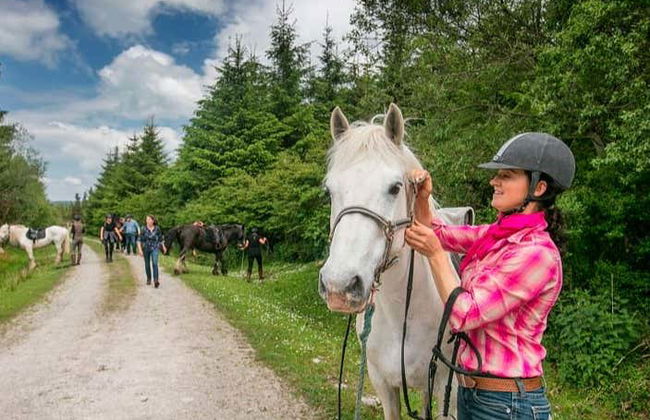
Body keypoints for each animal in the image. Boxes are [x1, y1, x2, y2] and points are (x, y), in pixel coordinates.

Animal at [319, 104, 469, 419]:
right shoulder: (382, 382)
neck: (403, 315)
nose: (339, 285)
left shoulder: (444, 390)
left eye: (395, 187)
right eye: (329, 191)